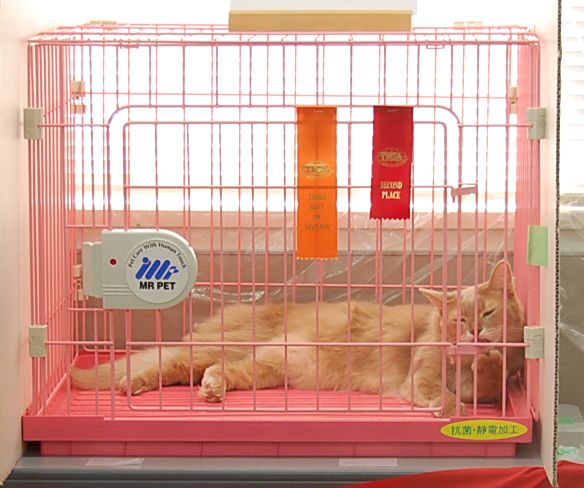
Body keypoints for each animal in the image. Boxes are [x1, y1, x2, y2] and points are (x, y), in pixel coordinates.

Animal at [71, 260, 525, 418]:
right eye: (459, 320)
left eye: (487, 314)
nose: (474, 332)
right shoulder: (422, 377)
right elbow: (446, 397)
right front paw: (452, 409)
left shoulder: (489, 385)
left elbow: (486, 381)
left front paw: (487, 360)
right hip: (231, 346)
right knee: (174, 363)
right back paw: (132, 384)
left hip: (267, 368)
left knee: (215, 371)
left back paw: (213, 389)